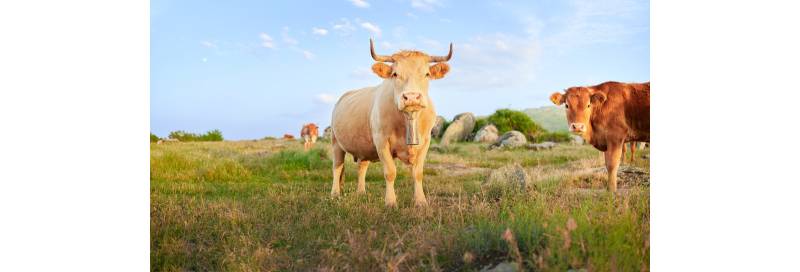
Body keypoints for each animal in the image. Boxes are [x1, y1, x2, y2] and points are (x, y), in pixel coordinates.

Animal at [328, 38, 454, 207]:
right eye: (395, 74)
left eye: (427, 74)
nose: (412, 97)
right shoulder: (381, 141)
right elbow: (390, 172)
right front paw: (390, 202)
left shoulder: (426, 142)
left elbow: (418, 173)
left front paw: (420, 201)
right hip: (336, 142)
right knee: (337, 167)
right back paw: (335, 194)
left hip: (363, 146)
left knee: (362, 167)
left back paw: (361, 192)